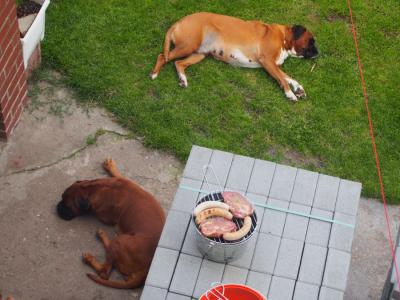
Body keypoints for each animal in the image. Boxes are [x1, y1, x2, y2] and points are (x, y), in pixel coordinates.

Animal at [56, 159, 166, 288]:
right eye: (62, 197)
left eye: (68, 206)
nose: (58, 207)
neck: (95, 188)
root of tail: (149, 265)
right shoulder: (123, 180)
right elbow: (118, 174)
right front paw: (110, 166)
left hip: (120, 242)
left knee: (105, 272)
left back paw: (91, 255)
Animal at [150, 12, 318, 101]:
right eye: (311, 41)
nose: (318, 53)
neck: (284, 37)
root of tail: (180, 21)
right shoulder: (268, 62)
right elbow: (282, 79)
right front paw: (290, 93)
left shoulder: (274, 65)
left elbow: (288, 77)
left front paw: (298, 88)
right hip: (188, 45)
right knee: (162, 56)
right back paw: (154, 74)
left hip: (199, 54)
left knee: (178, 63)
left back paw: (183, 79)